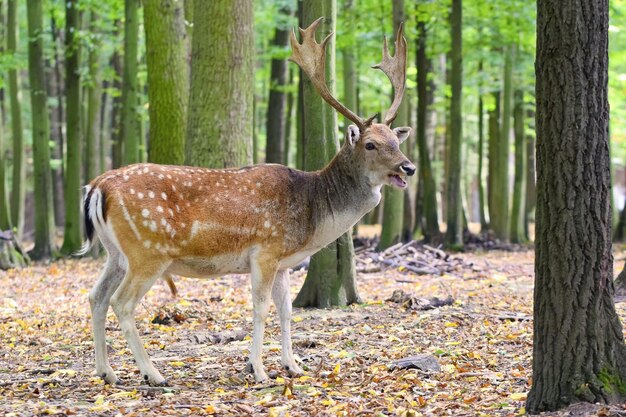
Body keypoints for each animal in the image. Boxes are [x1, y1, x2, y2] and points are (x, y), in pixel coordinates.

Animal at [79, 18, 414, 384]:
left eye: (395, 140)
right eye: (370, 144)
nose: (409, 167)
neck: (313, 213)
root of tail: (96, 187)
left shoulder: (283, 261)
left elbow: (286, 310)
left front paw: (292, 365)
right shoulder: (265, 250)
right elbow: (261, 308)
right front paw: (259, 370)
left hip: (116, 252)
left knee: (96, 296)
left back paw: (106, 372)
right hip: (148, 250)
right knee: (122, 302)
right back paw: (153, 374)